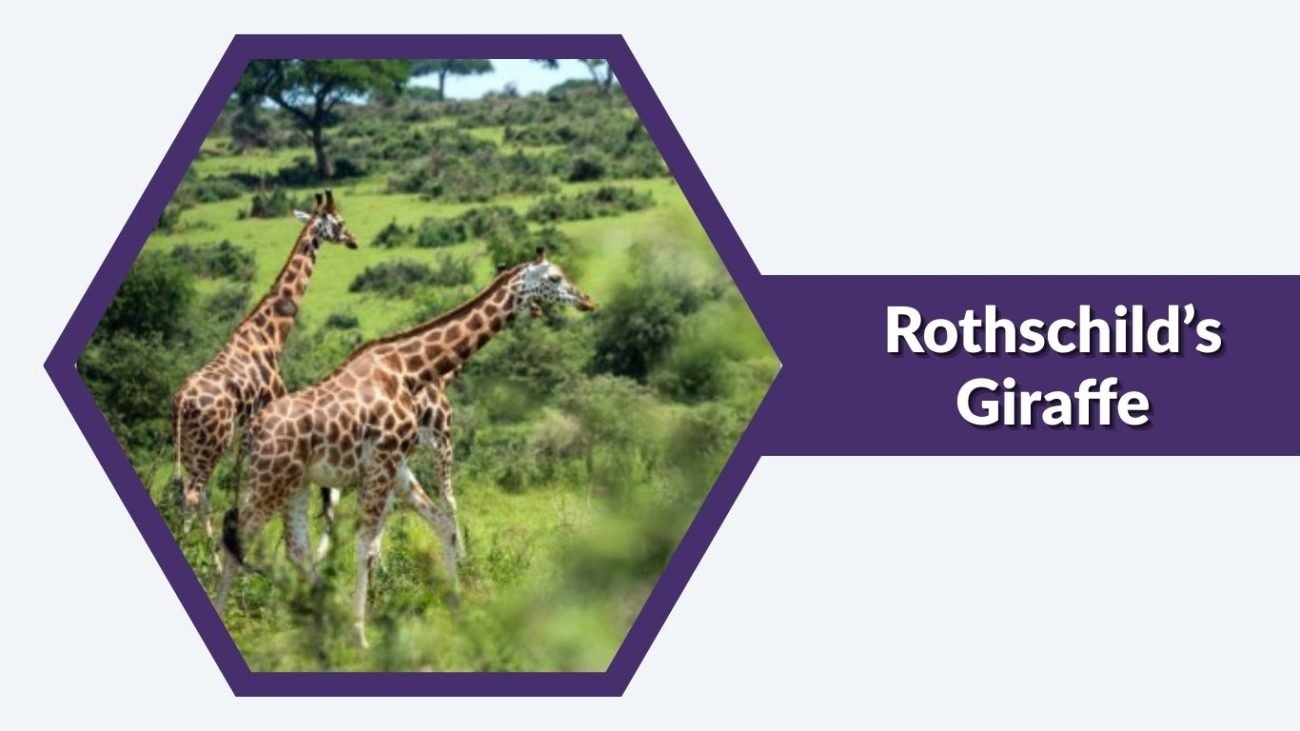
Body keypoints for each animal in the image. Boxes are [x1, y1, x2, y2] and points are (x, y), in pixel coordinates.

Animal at [170, 189, 358, 557]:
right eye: (339, 222)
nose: (353, 240)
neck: (271, 335)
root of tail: (182, 403)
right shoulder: (270, 411)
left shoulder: (251, 427)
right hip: (212, 441)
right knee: (194, 495)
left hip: (187, 443)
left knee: (191, 494)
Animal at [215, 248, 595, 647]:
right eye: (554, 278)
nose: (587, 300)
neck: (410, 370)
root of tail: (252, 431)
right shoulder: (386, 458)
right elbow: (366, 546)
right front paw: (361, 636)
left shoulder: (397, 462)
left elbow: (442, 524)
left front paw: (457, 610)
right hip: (270, 479)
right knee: (237, 540)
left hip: (296, 483)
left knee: (295, 550)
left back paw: (325, 616)